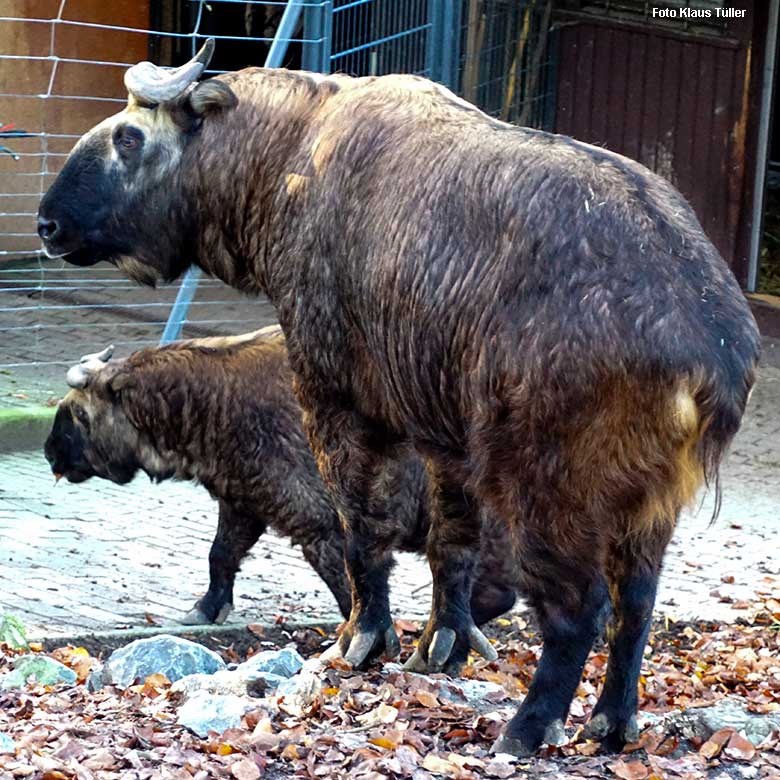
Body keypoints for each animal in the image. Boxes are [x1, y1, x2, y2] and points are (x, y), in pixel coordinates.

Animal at [42, 328, 516, 628]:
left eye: (79, 413)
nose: (49, 452)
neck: (215, 399)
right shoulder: (244, 501)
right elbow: (219, 556)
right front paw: (206, 609)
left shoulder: (322, 524)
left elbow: (353, 591)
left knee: (493, 592)